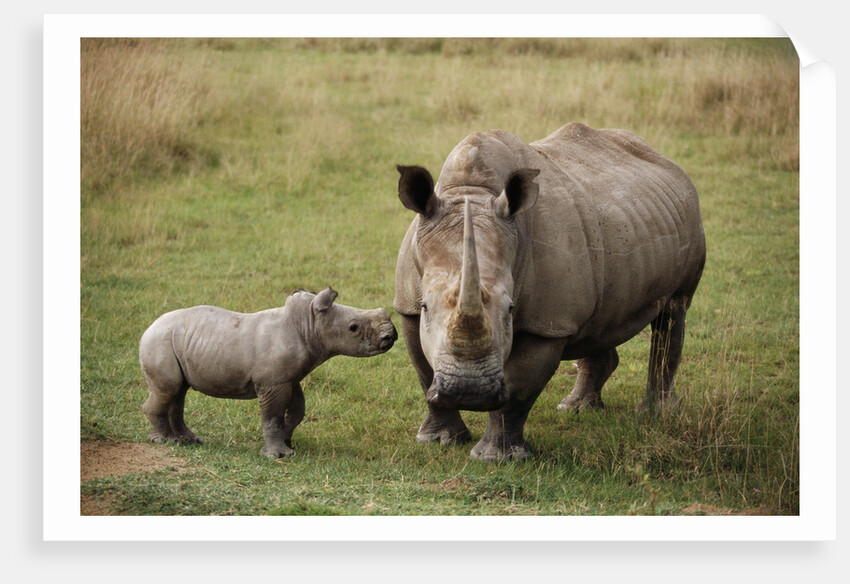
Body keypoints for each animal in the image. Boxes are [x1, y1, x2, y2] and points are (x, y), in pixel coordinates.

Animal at [139, 288, 397, 458]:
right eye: (353, 328)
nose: (390, 335)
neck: (309, 324)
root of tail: (147, 329)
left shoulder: (288, 377)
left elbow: (296, 411)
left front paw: (288, 442)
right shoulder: (273, 381)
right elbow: (272, 415)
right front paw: (278, 455)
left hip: (171, 342)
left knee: (178, 391)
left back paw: (190, 441)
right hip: (159, 342)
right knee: (168, 389)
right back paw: (164, 440)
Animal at [394, 122, 706, 462]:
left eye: (510, 310)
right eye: (426, 306)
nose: (469, 392)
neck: (470, 193)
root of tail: (666, 160)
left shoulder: (546, 325)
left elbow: (518, 389)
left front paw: (496, 458)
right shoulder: (409, 302)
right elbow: (424, 370)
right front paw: (439, 440)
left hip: (688, 217)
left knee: (673, 311)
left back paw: (655, 414)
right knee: (600, 321)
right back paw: (577, 409)